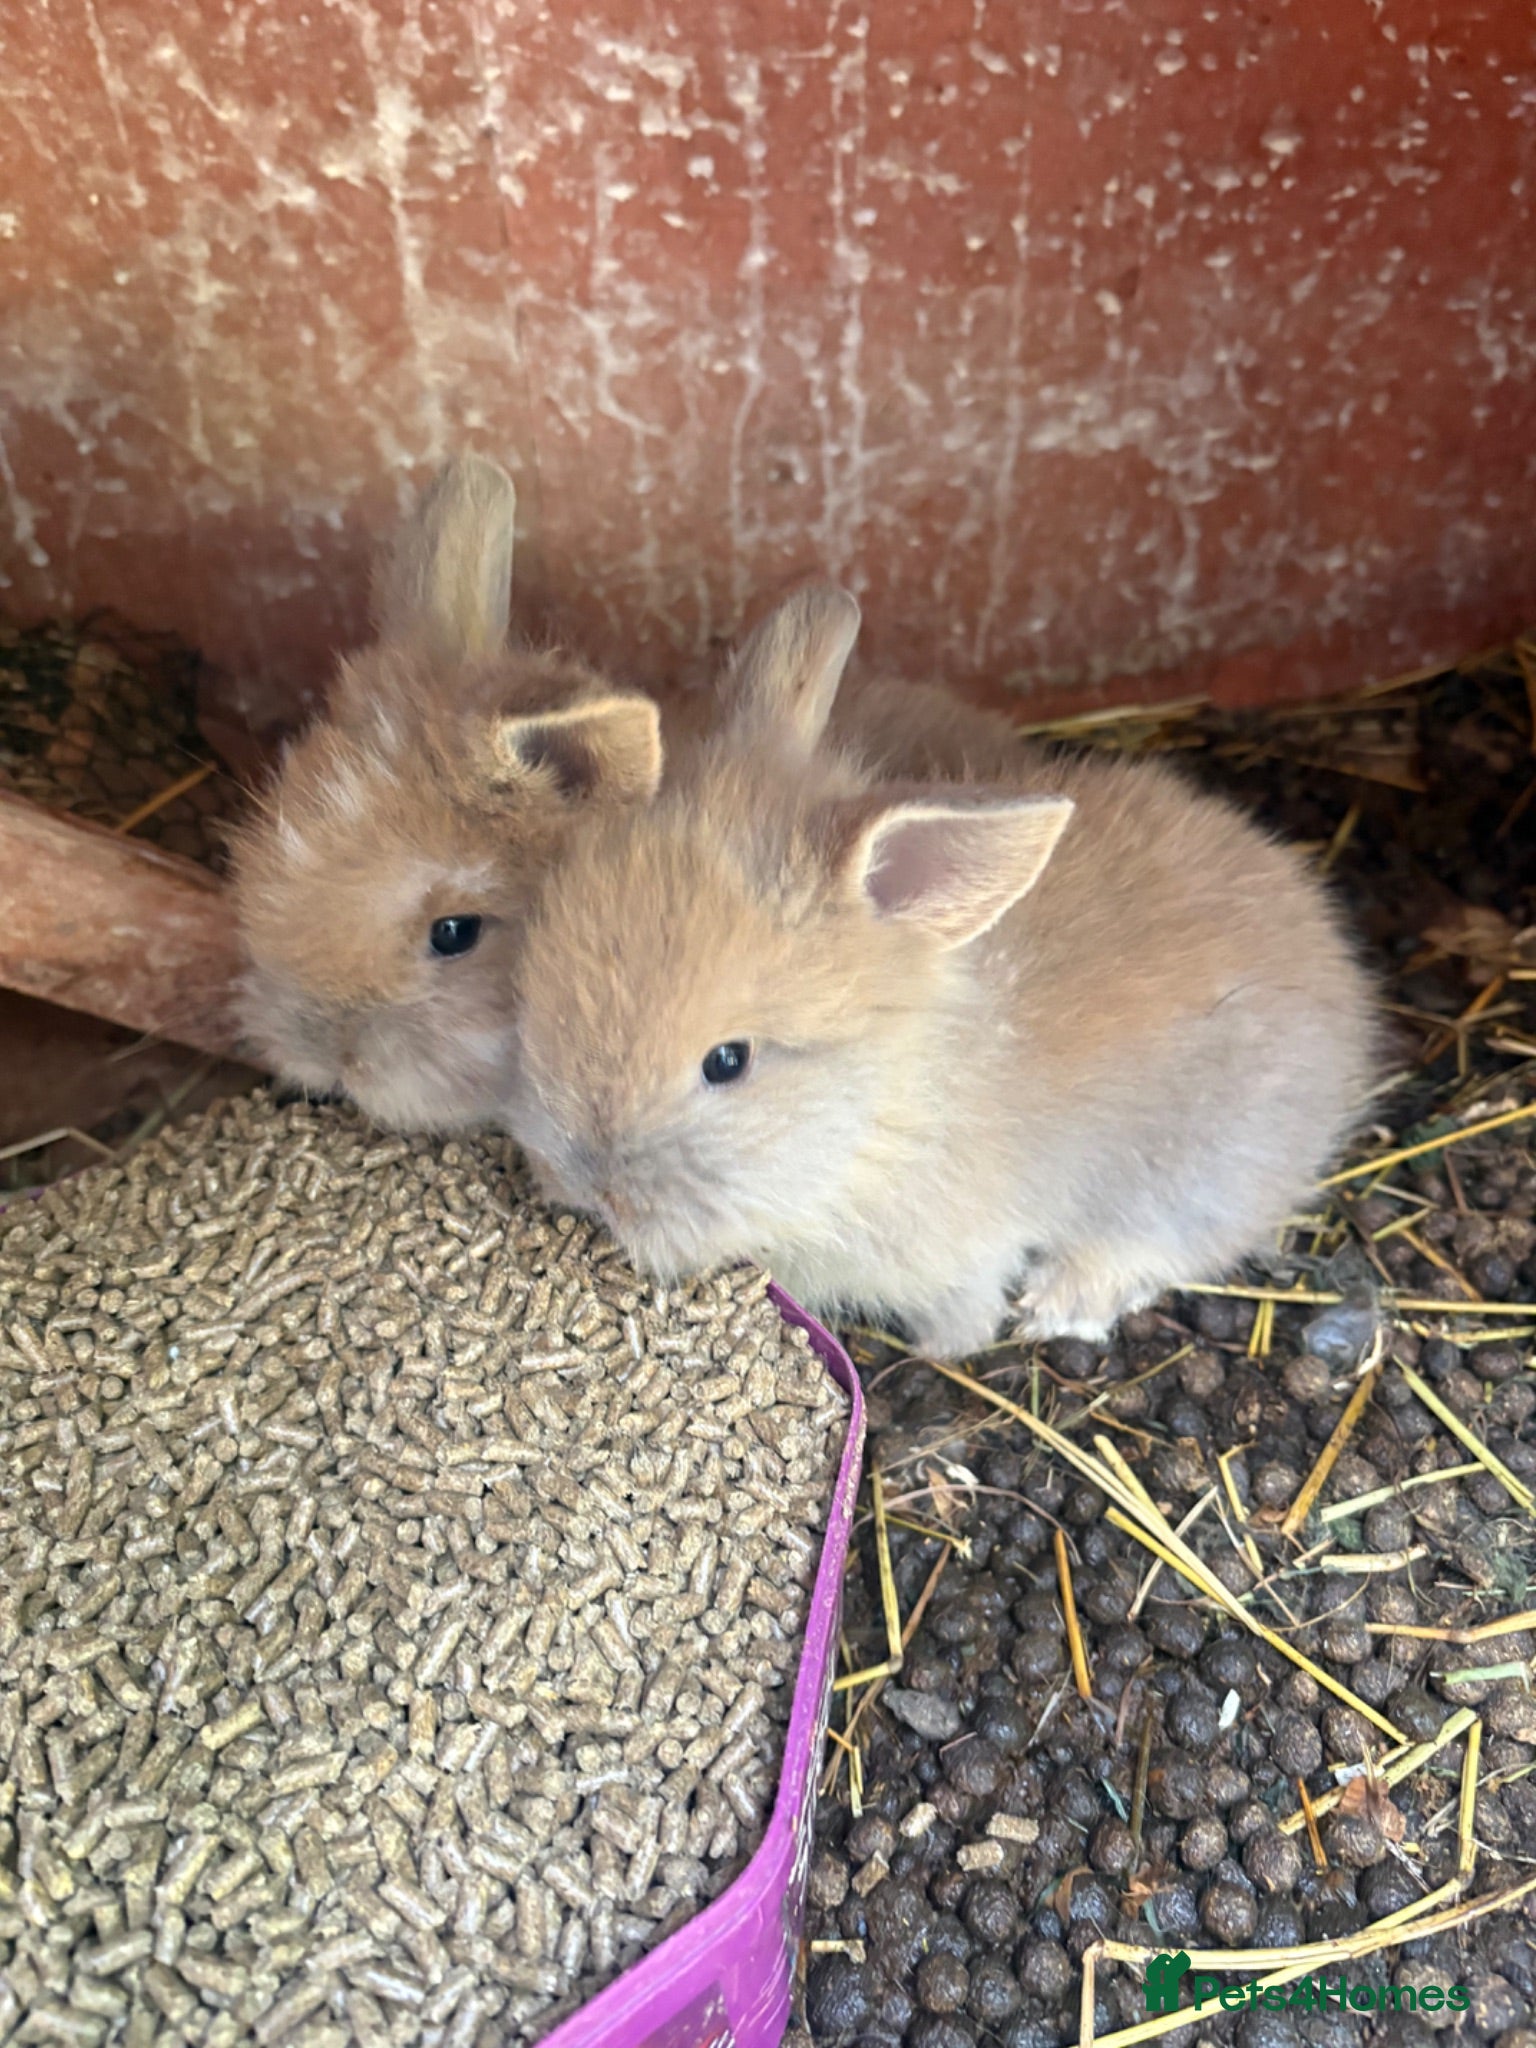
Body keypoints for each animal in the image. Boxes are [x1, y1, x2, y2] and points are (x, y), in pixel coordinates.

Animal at [505, 584, 1379, 1357]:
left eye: (728, 1062)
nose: (584, 1186)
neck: (885, 1115)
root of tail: (1342, 980)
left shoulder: (960, 1258)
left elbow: (964, 1318)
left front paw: (941, 1352)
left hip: (1192, 1177)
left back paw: (1059, 1305)